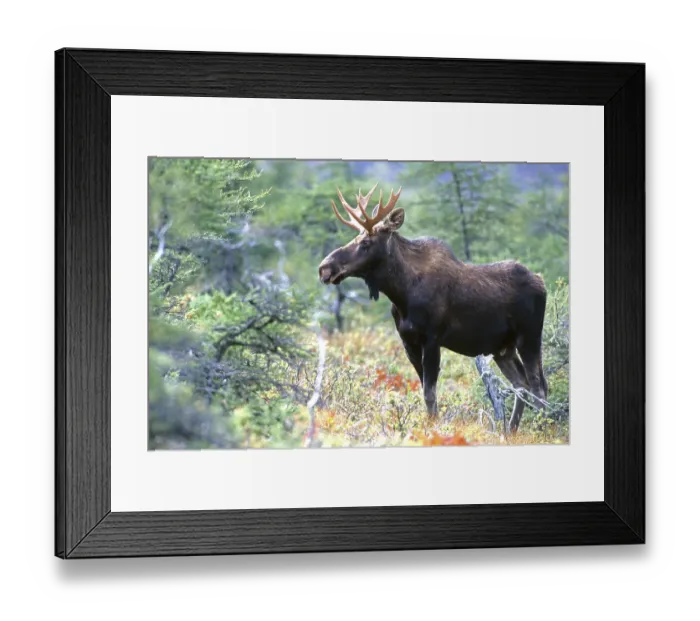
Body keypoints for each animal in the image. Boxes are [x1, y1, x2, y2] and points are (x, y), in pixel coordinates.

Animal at [317, 183, 548, 434]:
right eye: (355, 237)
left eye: (365, 243)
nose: (325, 268)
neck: (401, 293)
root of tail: (542, 282)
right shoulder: (408, 341)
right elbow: (425, 391)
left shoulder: (432, 338)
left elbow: (430, 393)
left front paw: (433, 428)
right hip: (503, 348)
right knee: (521, 384)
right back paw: (510, 431)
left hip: (529, 337)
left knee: (538, 387)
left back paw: (543, 429)